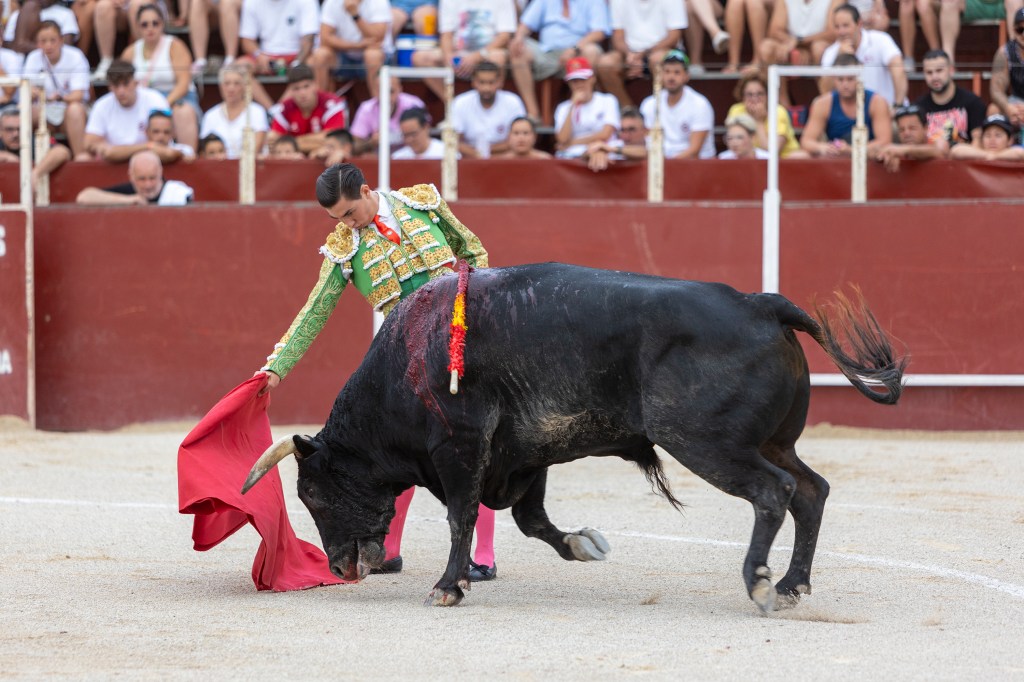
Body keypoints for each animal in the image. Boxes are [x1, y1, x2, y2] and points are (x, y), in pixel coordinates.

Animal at [242, 263, 905, 610]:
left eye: (312, 495)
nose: (340, 566)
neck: (406, 361)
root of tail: (760, 304)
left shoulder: (460, 448)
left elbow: (461, 516)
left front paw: (447, 587)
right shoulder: (523, 454)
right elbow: (530, 520)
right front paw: (584, 544)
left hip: (707, 443)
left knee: (774, 494)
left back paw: (761, 583)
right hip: (772, 442)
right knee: (810, 490)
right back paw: (793, 584)